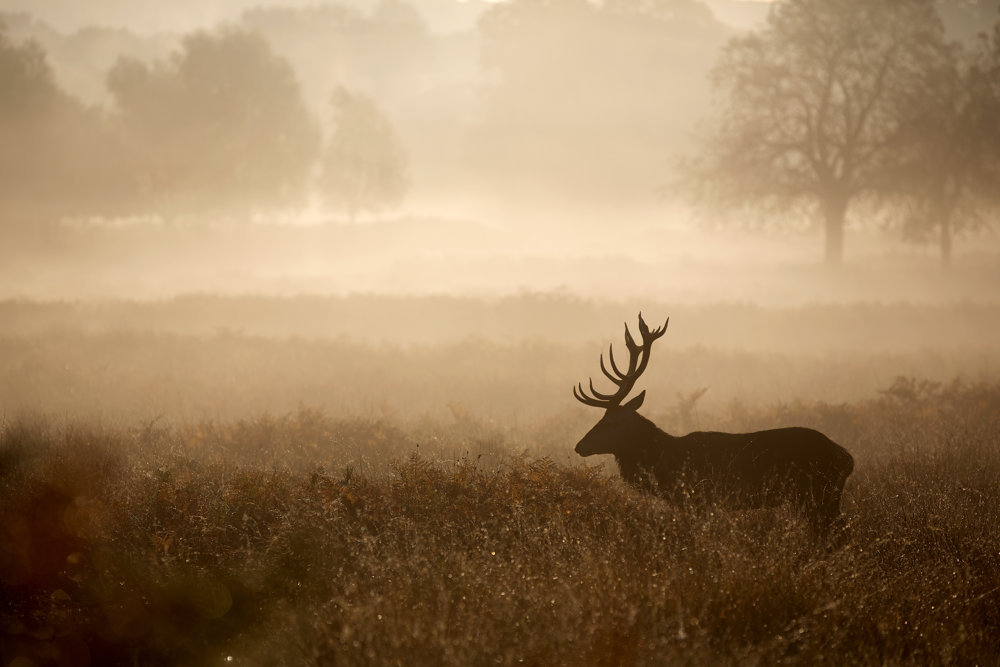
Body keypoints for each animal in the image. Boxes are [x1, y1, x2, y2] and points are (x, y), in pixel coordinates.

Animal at [573, 314, 854, 536]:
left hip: (819, 493)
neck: (667, 463)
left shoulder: (699, 497)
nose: (579, 446)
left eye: (610, 422)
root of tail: (847, 458)